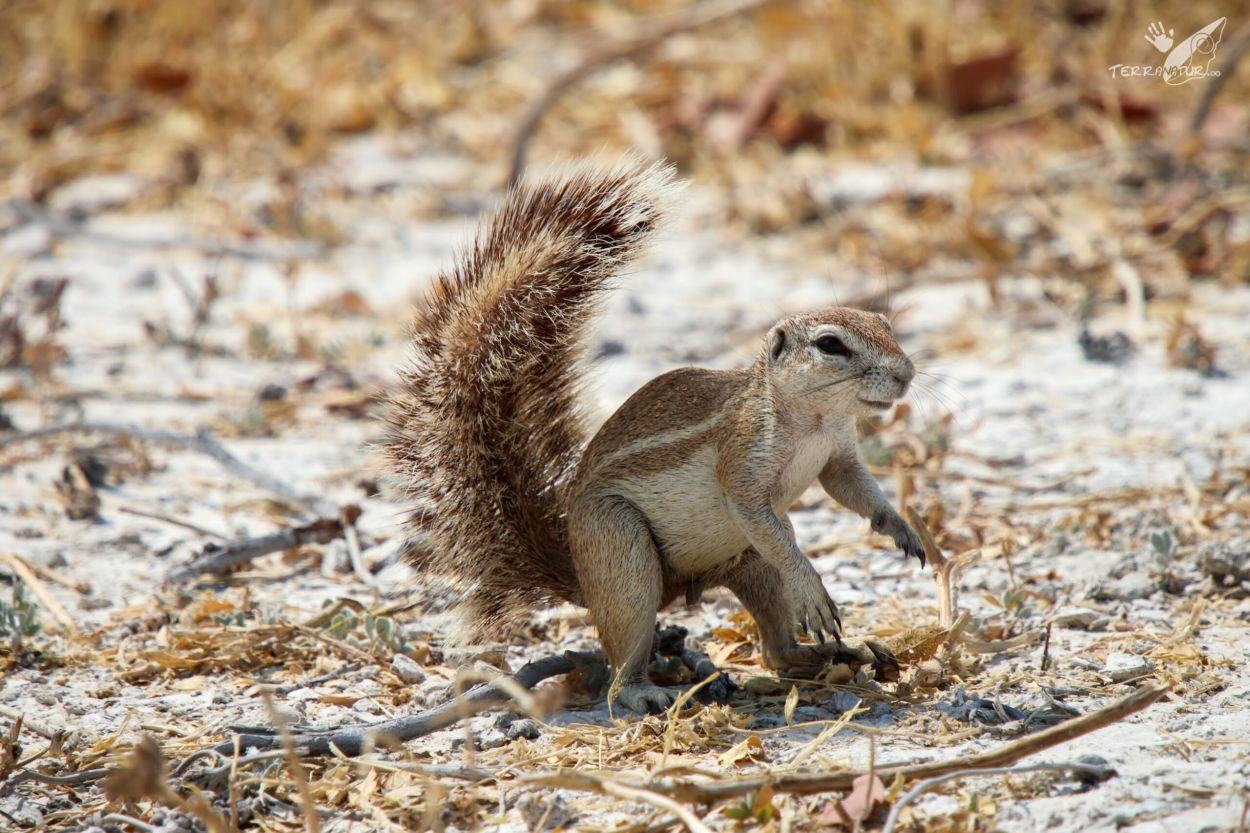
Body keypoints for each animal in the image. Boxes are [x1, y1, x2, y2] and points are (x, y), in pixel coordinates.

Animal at [384, 158, 925, 714]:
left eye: (885, 323)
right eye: (831, 345)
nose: (905, 374)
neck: (813, 418)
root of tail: (578, 572)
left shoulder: (838, 453)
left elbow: (852, 488)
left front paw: (899, 527)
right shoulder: (742, 457)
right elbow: (753, 508)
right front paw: (812, 589)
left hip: (748, 560)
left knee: (777, 650)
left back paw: (837, 652)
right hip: (621, 550)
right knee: (626, 655)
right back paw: (643, 691)